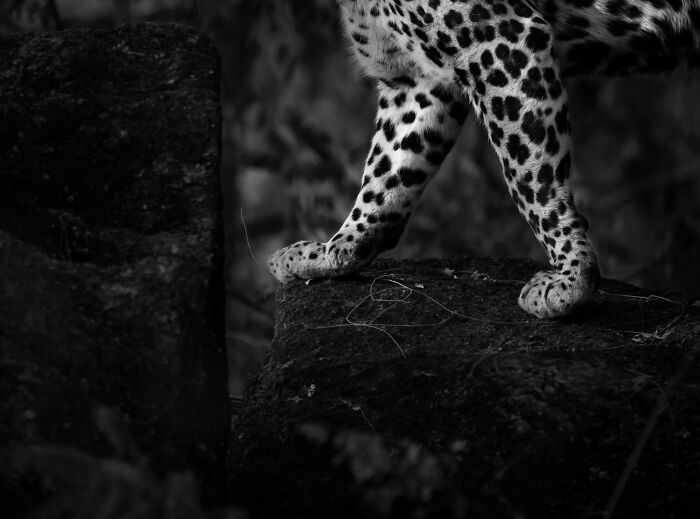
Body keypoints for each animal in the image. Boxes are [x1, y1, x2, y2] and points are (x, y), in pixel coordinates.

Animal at [267, 0, 700, 318]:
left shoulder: (499, 40)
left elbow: (532, 178)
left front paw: (572, 280)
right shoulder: (416, 82)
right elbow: (387, 171)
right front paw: (333, 252)